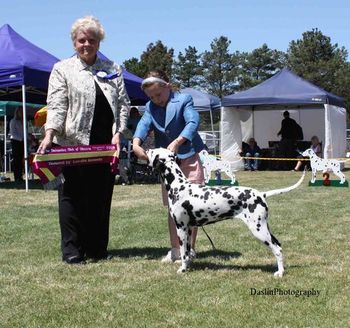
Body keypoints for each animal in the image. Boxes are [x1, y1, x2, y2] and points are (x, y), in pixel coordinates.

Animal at [146, 148, 304, 276]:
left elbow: (184, 253)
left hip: (258, 229)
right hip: (264, 227)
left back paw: (280, 272)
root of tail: (261, 194)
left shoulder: (181, 228)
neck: (178, 186)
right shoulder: (190, 228)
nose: (146, 149)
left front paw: (183, 269)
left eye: (153, 151)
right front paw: (188, 266)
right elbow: (187, 252)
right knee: (279, 245)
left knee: (276, 248)